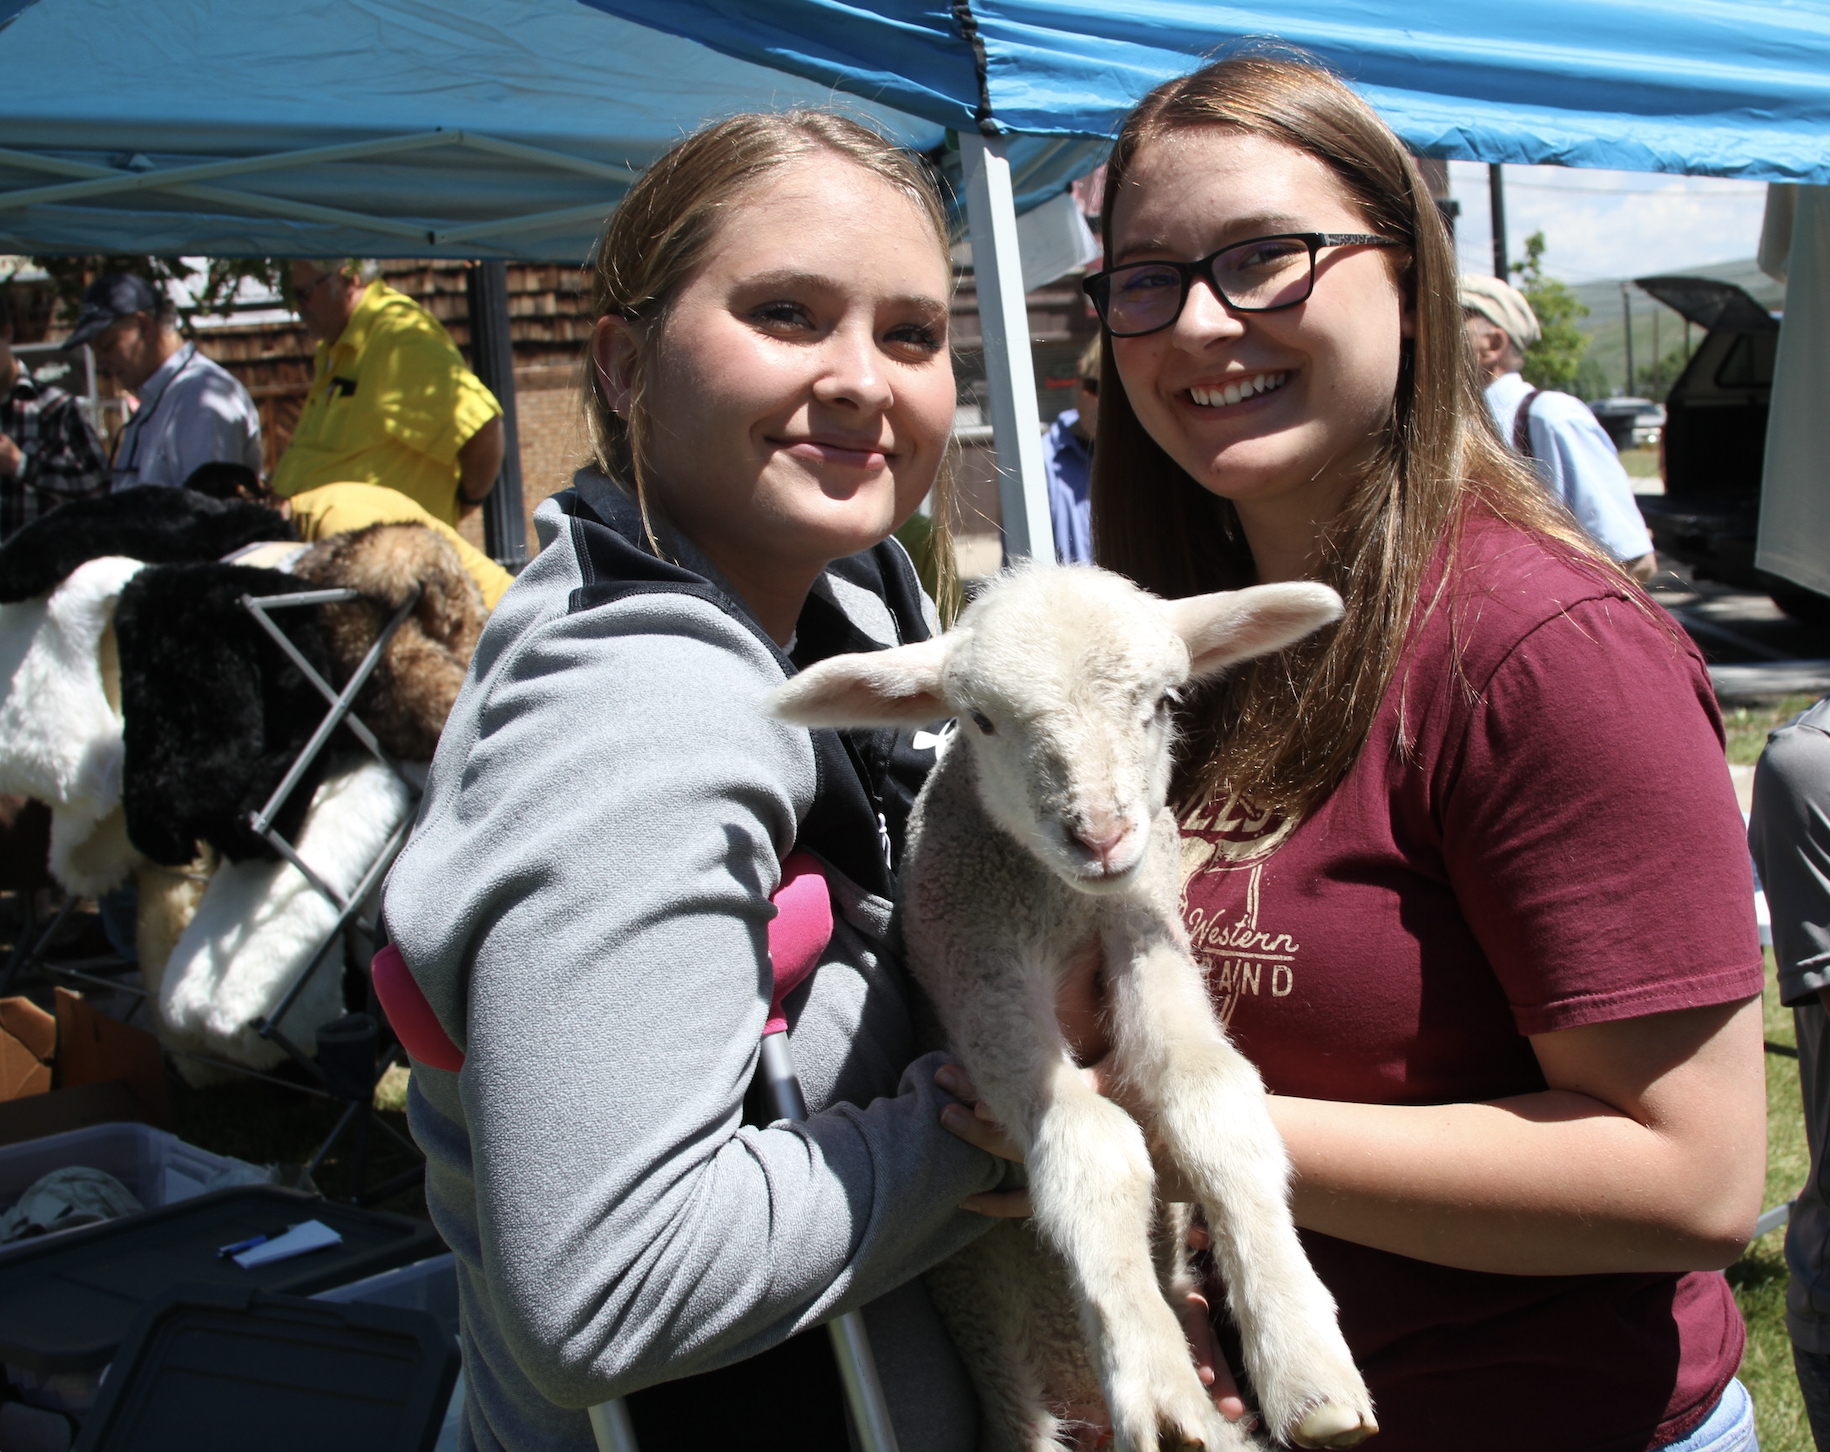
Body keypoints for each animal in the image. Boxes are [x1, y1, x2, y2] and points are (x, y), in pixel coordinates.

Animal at [773, 564, 1376, 1452]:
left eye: (1163, 701)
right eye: (981, 720)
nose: (1101, 836)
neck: (1066, 905)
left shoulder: (1146, 926)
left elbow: (1212, 1097)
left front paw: (1308, 1363)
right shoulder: (974, 958)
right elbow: (1094, 1140)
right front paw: (1159, 1381)